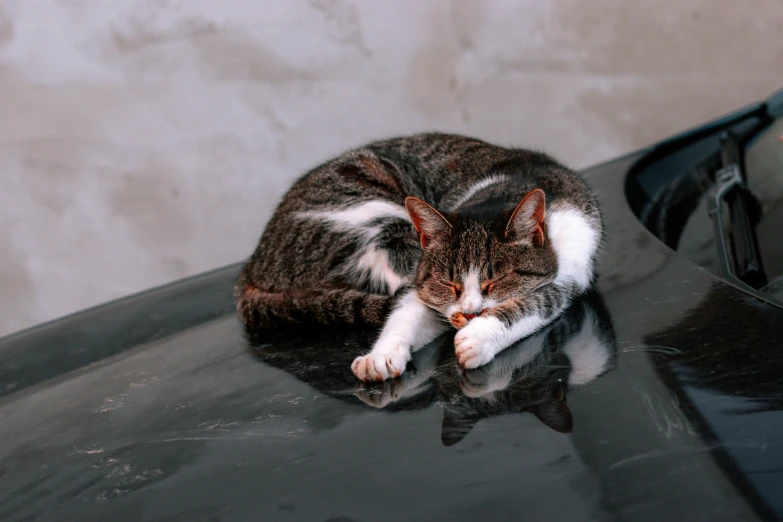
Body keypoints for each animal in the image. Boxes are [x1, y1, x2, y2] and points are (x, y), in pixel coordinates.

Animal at [236, 132, 604, 380]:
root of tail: (253, 264)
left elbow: (531, 305)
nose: (468, 315)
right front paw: (382, 355)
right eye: (450, 284)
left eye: (495, 282)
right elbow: (409, 310)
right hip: (380, 223)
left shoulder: (572, 273)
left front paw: (478, 339)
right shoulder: (425, 285)